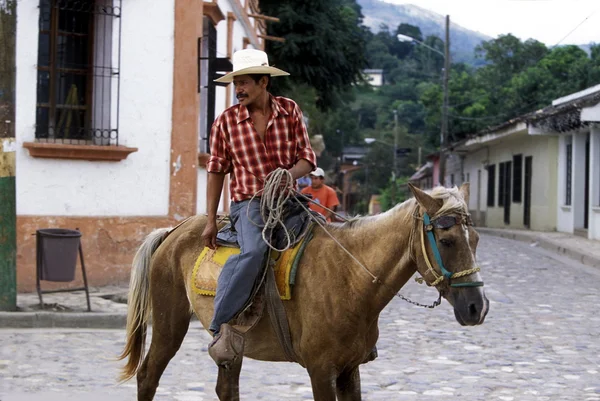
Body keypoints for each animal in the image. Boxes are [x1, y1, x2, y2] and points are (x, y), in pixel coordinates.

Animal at [117, 183, 488, 398]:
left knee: (226, 385)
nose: (477, 308)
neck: (350, 277)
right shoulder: (321, 370)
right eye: (447, 240)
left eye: (475, 239)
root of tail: (173, 231)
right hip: (169, 325)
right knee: (147, 376)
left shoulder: (350, 370)